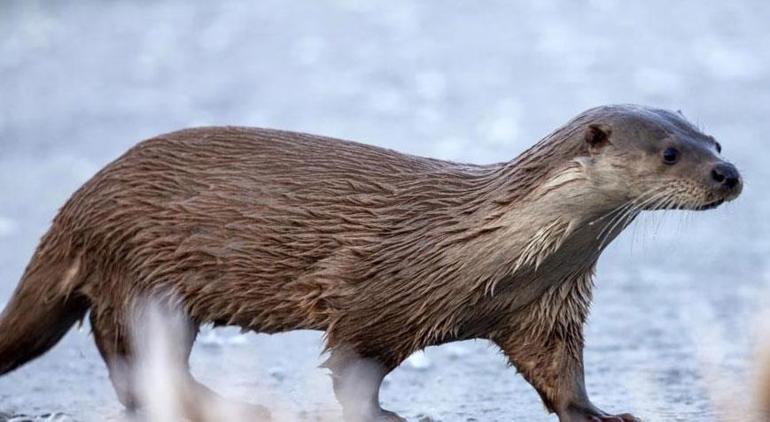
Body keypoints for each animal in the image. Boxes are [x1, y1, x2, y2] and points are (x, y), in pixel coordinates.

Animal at [0, 104, 736, 420]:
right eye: (671, 152)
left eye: (716, 140)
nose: (727, 175)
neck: (498, 254)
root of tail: (77, 205)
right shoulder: (376, 297)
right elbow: (354, 369)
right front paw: (387, 418)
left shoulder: (545, 306)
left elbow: (560, 373)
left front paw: (599, 413)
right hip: (136, 274)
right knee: (133, 364)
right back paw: (233, 404)